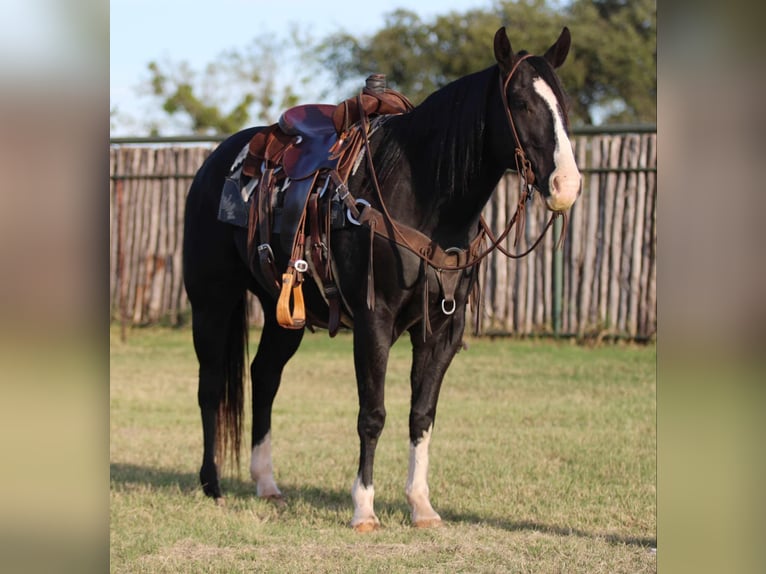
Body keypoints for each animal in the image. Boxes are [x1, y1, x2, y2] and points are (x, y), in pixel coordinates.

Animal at [182, 26, 581, 531]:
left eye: (563, 103)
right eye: (520, 102)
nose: (567, 186)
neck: (420, 194)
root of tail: (214, 164)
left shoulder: (443, 328)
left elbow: (421, 414)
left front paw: (421, 505)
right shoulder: (374, 321)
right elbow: (372, 413)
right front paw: (364, 509)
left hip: (283, 313)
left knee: (264, 376)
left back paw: (267, 484)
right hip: (211, 303)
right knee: (211, 386)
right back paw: (212, 485)